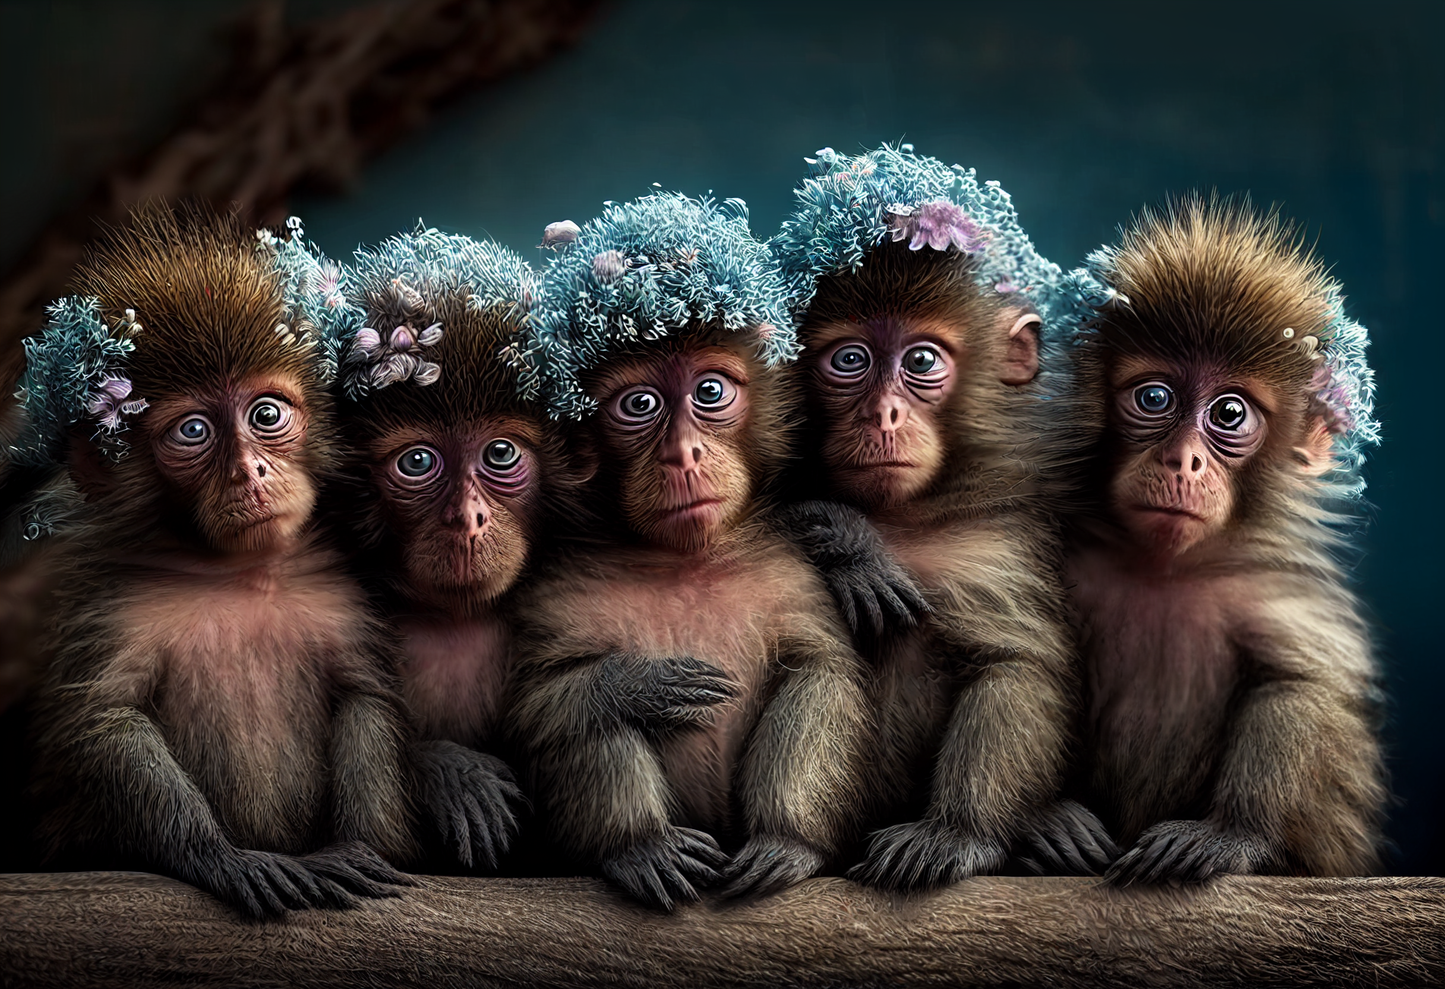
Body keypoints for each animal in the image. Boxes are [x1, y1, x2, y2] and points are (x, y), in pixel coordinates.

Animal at [24, 204, 424, 918]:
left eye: (265, 414)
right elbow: (103, 721)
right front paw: (218, 855)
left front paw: (360, 848)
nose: (249, 472)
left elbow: (366, 695)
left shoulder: (339, 585)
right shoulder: (116, 600)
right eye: (194, 431)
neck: (241, 575)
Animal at [505, 193, 870, 911]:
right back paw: (642, 844)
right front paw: (636, 687)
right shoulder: (559, 589)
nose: (683, 454)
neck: (686, 563)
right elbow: (540, 706)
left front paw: (786, 838)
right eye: (640, 403)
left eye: (709, 392)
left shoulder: (785, 570)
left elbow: (822, 672)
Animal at [770, 145, 1113, 890]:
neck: (910, 517)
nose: (882, 415)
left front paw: (956, 832)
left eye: (921, 360)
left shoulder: (996, 534)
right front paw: (850, 544)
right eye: (849, 359)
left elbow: (1015, 663)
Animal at [1025, 195, 1387, 883]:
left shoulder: (1270, 578)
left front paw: (1230, 834)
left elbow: (1298, 681)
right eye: (1154, 397)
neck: (1164, 567)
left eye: (1229, 413)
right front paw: (1046, 820)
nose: (1182, 461)